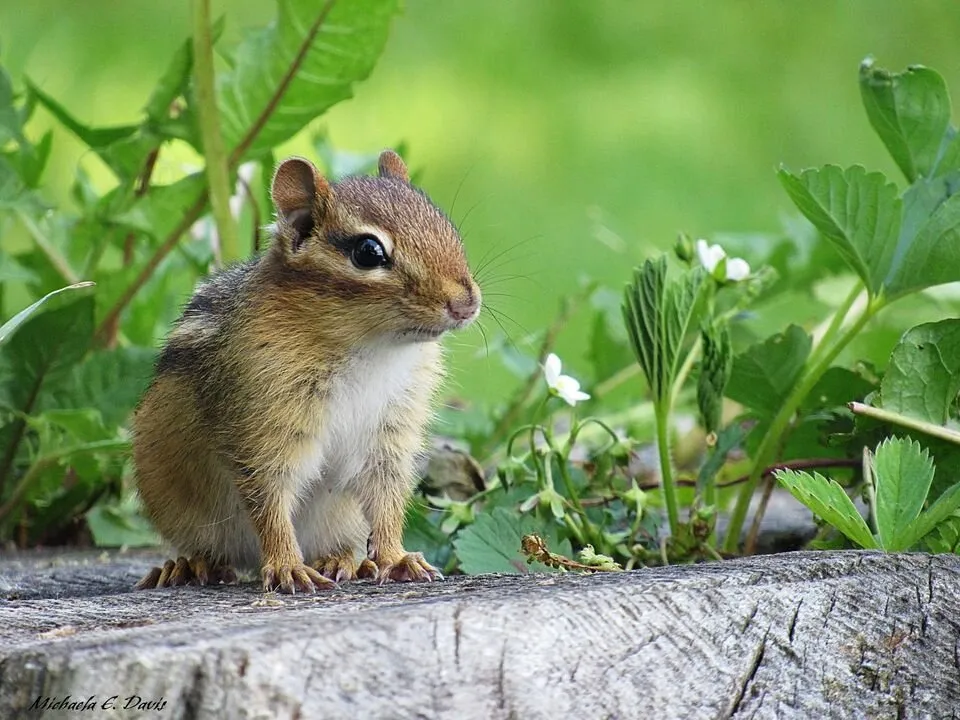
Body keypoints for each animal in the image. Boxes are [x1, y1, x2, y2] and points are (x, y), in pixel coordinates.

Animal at [132, 150, 481, 594]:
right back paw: (189, 566)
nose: (466, 303)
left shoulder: (390, 435)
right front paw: (286, 566)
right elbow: (269, 498)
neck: (371, 349)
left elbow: (386, 498)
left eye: (445, 225)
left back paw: (341, 560)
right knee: (211, 551)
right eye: (369, 252)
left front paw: (395, 557)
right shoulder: (264, 425)